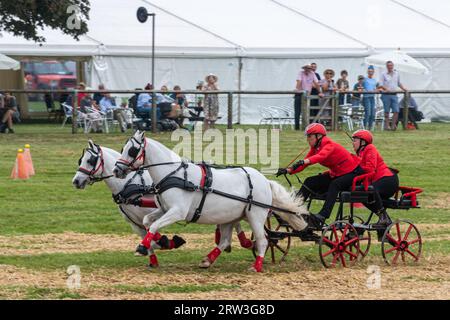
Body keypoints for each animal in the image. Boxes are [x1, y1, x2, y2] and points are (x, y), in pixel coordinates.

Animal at [113, 130, 310, 272]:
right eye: (123, 148)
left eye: (132, 150)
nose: (117, 170)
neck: (174, 175)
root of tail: (265, 181)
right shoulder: (164, 209)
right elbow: (148, 221)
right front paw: (157, 242)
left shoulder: (177, 212)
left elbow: (154, 225)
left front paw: (143, 247)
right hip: (229, 217)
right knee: (224, 241)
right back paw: (207, 260)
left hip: (256, 215)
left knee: (263, 240)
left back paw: (256, 266)